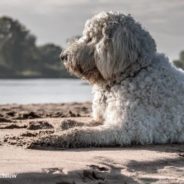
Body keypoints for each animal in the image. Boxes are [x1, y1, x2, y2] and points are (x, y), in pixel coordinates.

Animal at [30, 11, 184, 149]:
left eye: (90, 38)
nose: (63, 56)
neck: (132, 73)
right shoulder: (102, 118)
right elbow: (84, 123)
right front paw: (65, 123)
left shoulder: (129, 127)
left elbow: (82, 132)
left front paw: (52, 138)